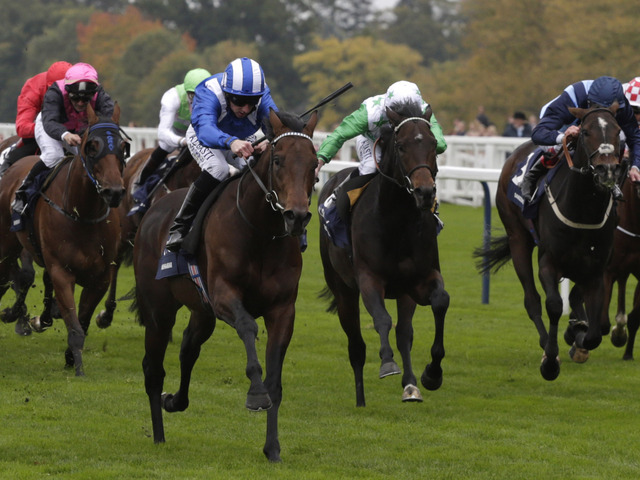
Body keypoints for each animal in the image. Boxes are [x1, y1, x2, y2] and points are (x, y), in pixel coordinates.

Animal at [0, 104, 128, 376]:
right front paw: (78, 366)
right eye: (92, 146)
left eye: (123, 146)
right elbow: (74, 322)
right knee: (5, 276)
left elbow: (82, 321)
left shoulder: (101, 277)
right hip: (7, 245)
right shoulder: (62, 271)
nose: (113, 192)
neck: (82, 214)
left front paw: (70, 355)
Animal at [132, 109, 318, 462]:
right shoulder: (223, 296)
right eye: (278, 161)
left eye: (315, 164)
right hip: (159, 310)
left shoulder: (283, 309)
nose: (297, 216)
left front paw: (272, 448)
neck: (260, 232)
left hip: (201, 311)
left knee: (188, 347)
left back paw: (174, 401)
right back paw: (159, 435)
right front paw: (256, 394)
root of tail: (155, 208)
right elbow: (247, 326)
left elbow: (276, 382)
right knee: (153, 368)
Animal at [318, 103, 448, 406]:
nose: (425, 192)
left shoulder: (419, 279)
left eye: (433, 143)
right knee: (356, 345)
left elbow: (439, 303)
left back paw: (411, 385)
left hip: (403, 291)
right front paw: (388, 363)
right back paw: (360, 400)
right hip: (342, 289)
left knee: (404, 333)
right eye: (400, 146)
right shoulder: (368, 278)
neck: (397, 221)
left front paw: (431, 374)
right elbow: (381, 319)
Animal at [478, 105, 624, 378]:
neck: (583, 210)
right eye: (585, 131)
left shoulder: (596, 269)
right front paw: (550, 361)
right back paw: (547, 343)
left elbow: (594, 333)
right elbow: (554, 305)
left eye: (618, 131)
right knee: (532, 300)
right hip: (518, 238)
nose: (606, 171)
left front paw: (578, 338)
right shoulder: (549, 262)